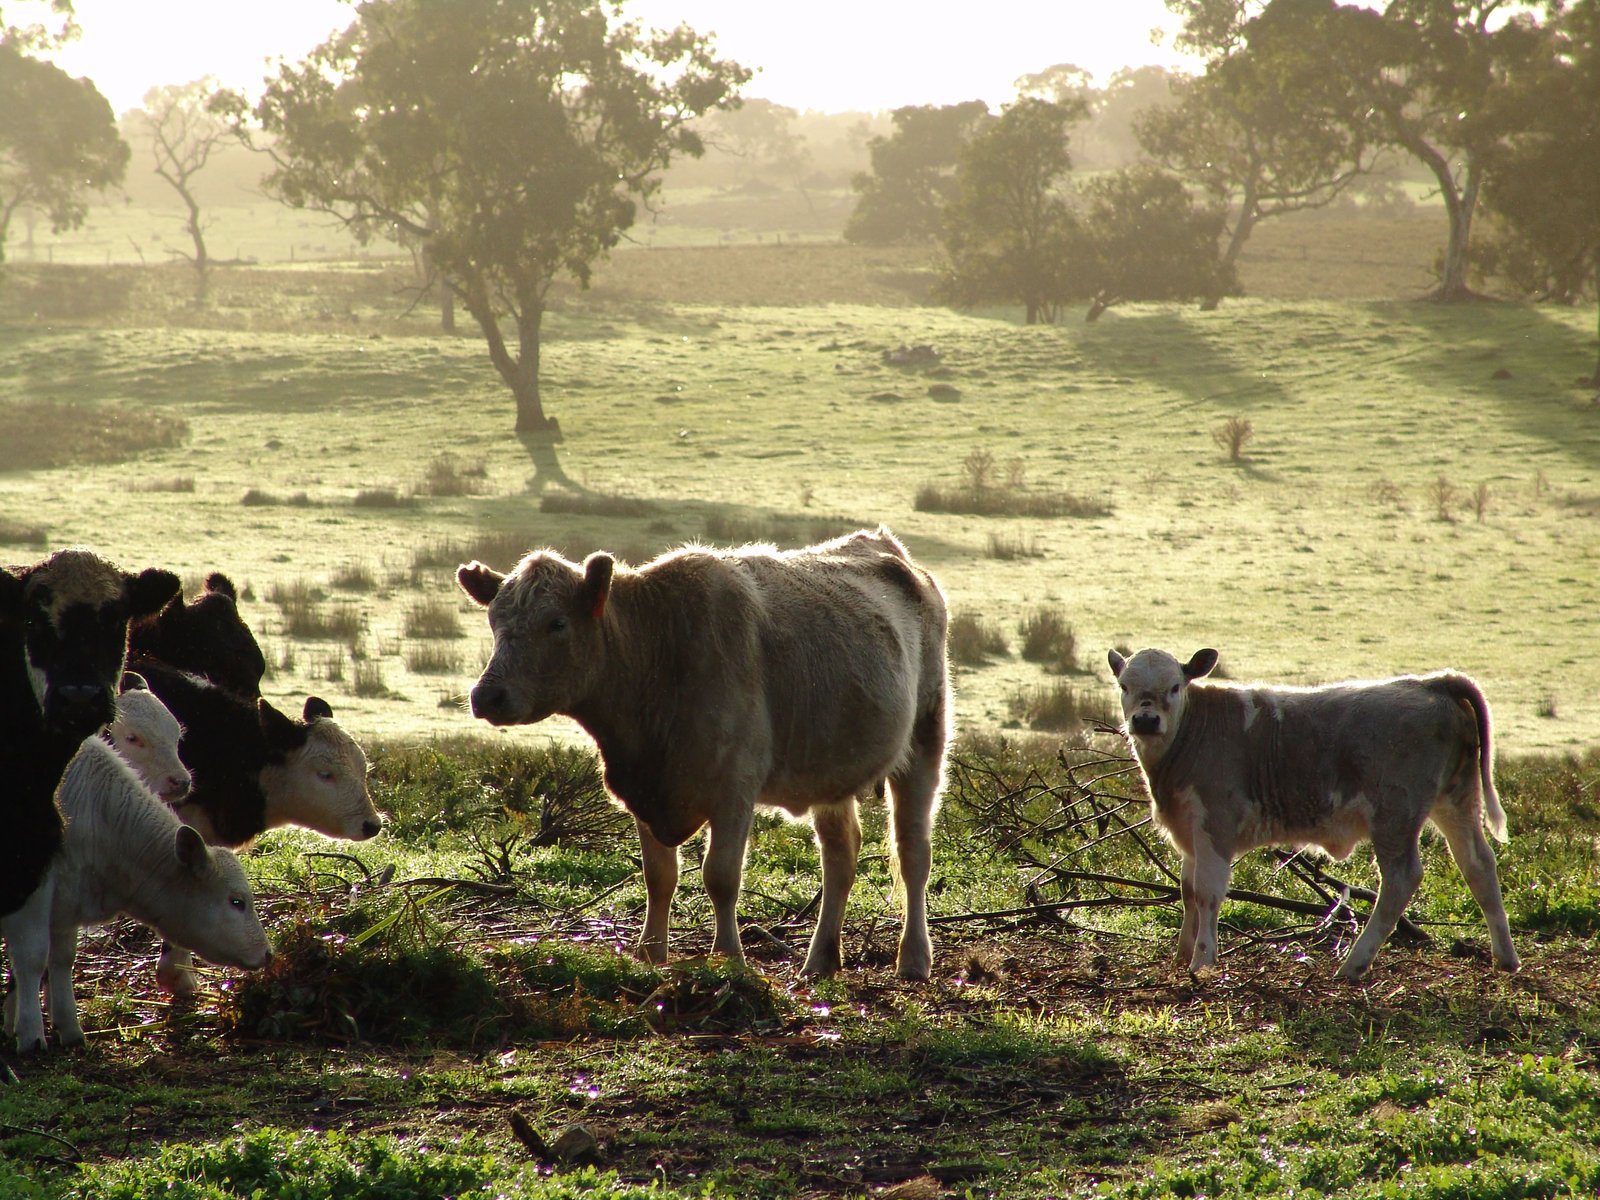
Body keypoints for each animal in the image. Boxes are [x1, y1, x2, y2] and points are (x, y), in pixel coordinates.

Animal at [454, 531, 947, 979]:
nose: (487, 695)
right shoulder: (644, 790)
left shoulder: (733, 790)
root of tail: (888, 548)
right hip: (830, 770)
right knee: (840, 856)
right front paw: (651, 953)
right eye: (494, 621)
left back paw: (913, 959)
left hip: (926, 737)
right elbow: (659, 877)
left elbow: (720, 877)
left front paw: (728, 957)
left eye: (556, 623)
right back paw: (820, 960)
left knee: (913, 852)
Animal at [1107, 643, 1516, 979]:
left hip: (1395, 813)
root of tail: (1431, 682)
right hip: (1457, 800)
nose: (1145, 720)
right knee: (1478, 864)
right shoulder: (1190, 830)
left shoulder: (1215, 824)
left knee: (1402, 879)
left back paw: (1354, 963)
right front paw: (1182, 954)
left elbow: (1207, 892)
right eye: (1124, 686)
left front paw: (1202, 960)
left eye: (1175, 686)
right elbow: (1188, 890)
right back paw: (1505, 958)